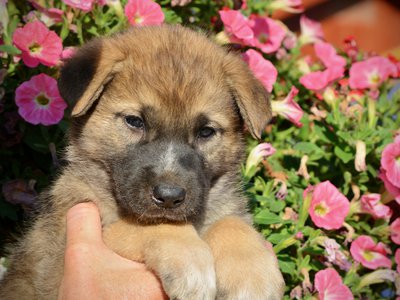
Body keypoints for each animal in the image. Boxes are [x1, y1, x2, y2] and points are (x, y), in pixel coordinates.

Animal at [1, 24, 286, 298]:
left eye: (206, 132)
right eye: (135, 121)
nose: (169, 197)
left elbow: (231, 222)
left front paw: (253, 277)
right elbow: (152, 224)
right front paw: (190, 263)